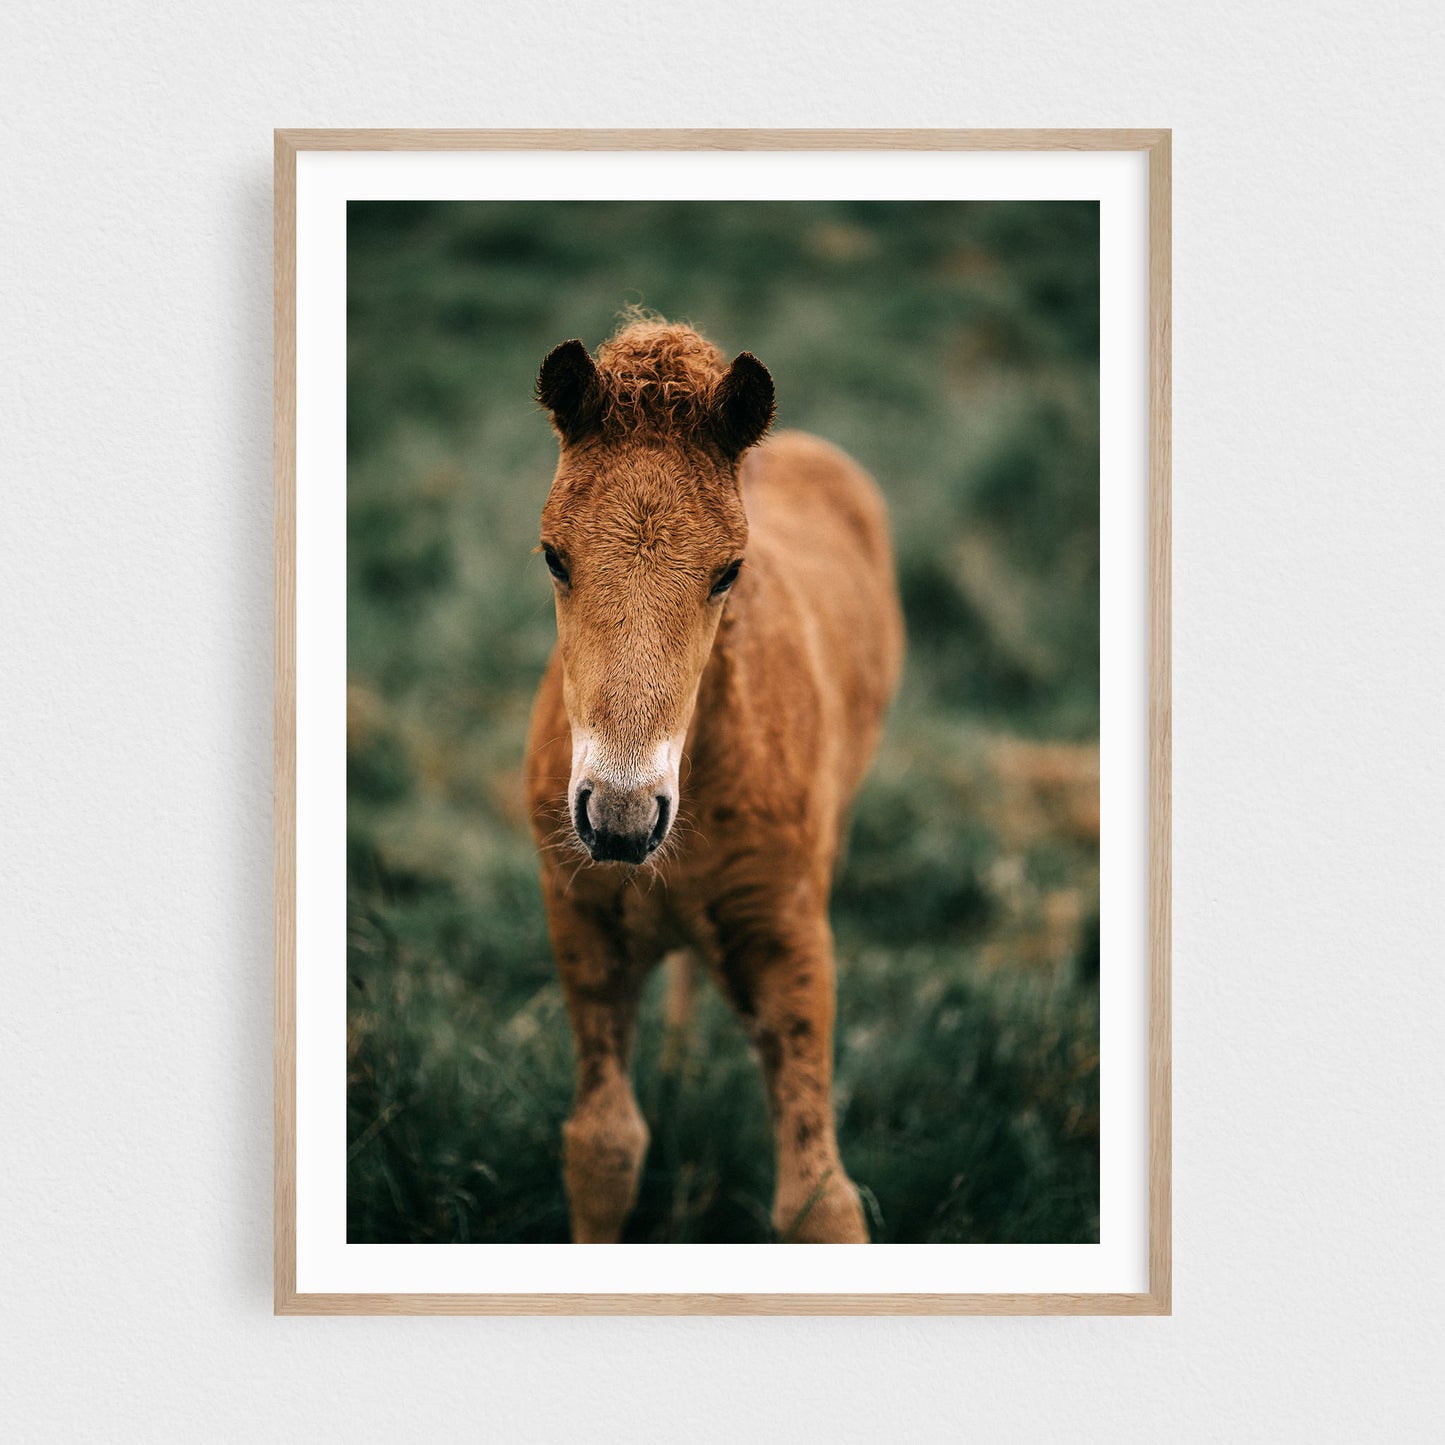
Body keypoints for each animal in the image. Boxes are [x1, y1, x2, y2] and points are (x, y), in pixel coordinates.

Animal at [525, 317, 904, 1243]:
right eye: (553, 556)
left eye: (728, 570)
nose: (619, 820)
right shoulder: (581, 918)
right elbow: (603, 1146)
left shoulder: (788, 939)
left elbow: (818, 1199)